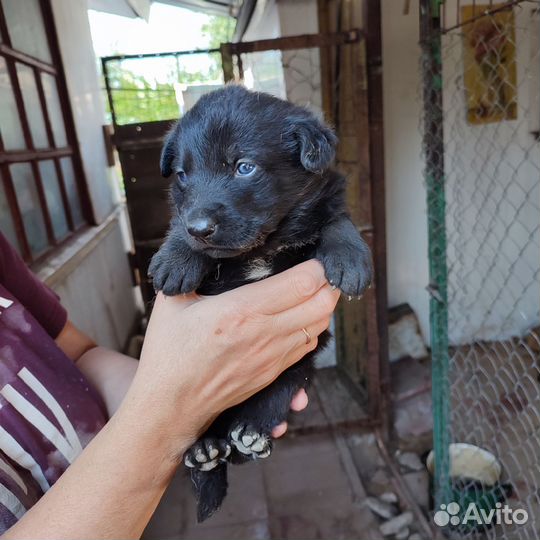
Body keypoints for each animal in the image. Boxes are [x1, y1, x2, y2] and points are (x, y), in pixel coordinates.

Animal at [150, 85, 374, 524]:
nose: (200, 230)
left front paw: (351, 258)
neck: (264, 245)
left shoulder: (324, 204)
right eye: (182, 175)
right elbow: (178, 223)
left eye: (244, 168)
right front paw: (178, 254)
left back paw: (250, 436)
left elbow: (337, 219)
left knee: (255, 424)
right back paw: (204, 449)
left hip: (294, 373)